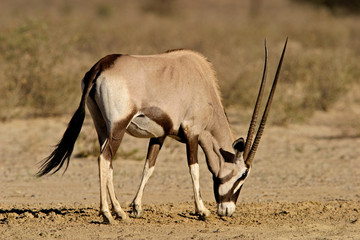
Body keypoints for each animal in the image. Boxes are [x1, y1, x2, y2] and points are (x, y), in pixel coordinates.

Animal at [38, 39, 288, 223]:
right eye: (243, 174)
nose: (227, 210)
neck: (203, 85)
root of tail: (101, 65)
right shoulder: (193, 133)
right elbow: (194, 169)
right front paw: (202, 210)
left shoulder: (159, 135)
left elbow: (148, 167)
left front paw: (137, 207)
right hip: (118, 126)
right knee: (104, 159)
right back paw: (109, 214)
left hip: (102, 126)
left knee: (108, 162)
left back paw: (119, 212)